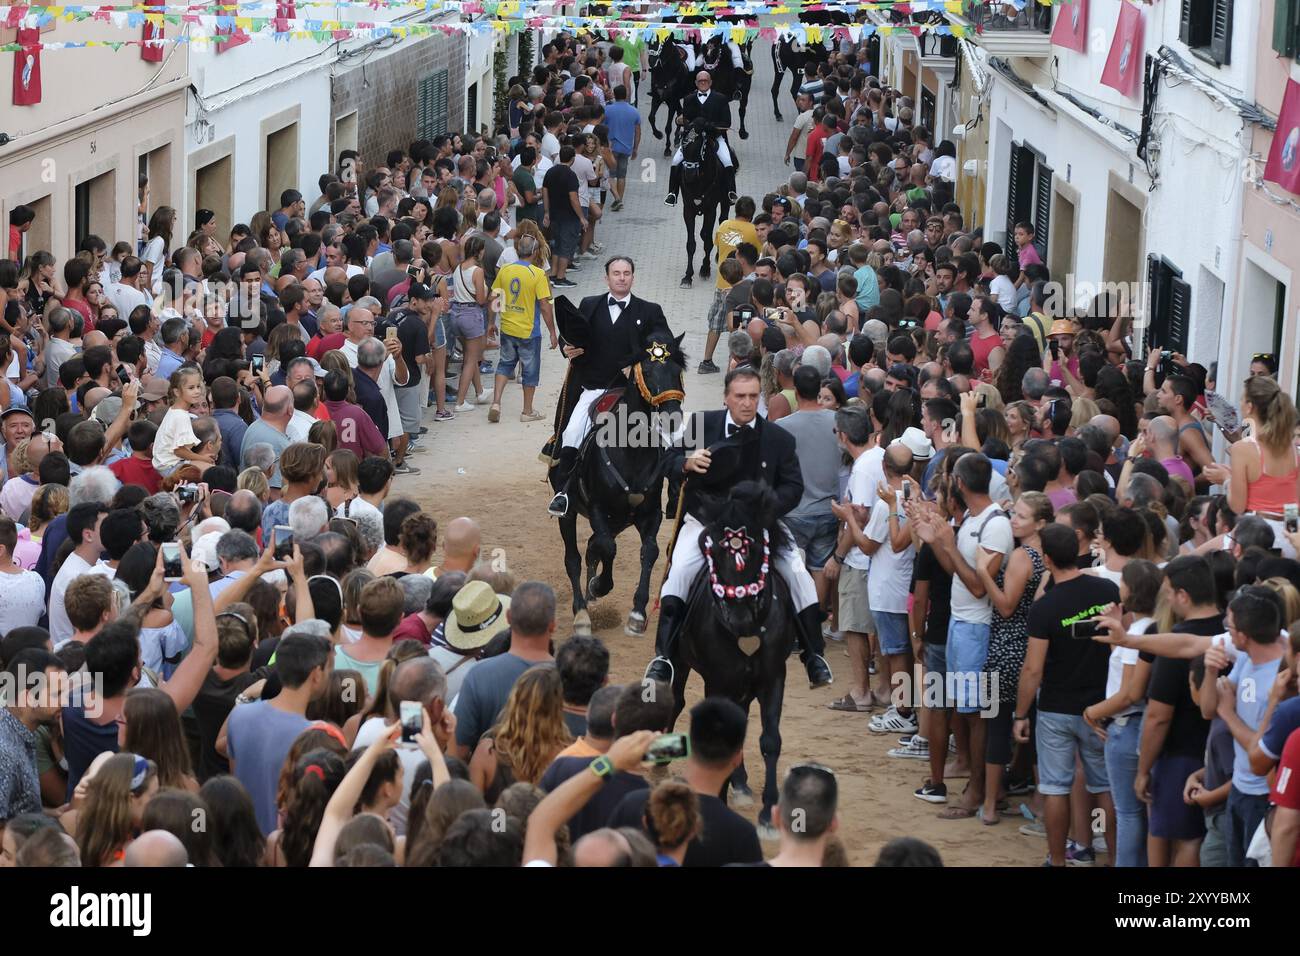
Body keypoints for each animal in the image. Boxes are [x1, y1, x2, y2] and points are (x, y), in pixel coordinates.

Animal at [556, 332, 686, 639]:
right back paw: (582, 612)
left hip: (618, 520)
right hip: (570, 514)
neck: (632, 452)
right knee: (574, 558)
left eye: (677, 370)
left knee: (592, 548)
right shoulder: (598, 510)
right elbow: (607, 549)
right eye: (647, 372)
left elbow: (649, 551)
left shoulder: (649, 514)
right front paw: (600, 586)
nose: (673, 416)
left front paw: (638, 613)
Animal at [670, 481, 790, 832]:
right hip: (681, 662)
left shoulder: (773, 678)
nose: (737, 618)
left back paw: (740, 782)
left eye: (756, 550)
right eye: (713, 550)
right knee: (675, 699)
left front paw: (768, 810)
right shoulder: (718, 681)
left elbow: (770, 740)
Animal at [681, 117, 733, 287]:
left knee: (722, 221)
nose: (689, 174)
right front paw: (687, 276)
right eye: (683, 146)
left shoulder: (711, 210)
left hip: (725, 201)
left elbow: (708, 242)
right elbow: (691, 244)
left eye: (699, 146)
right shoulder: (688, 210)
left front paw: (705, 269)